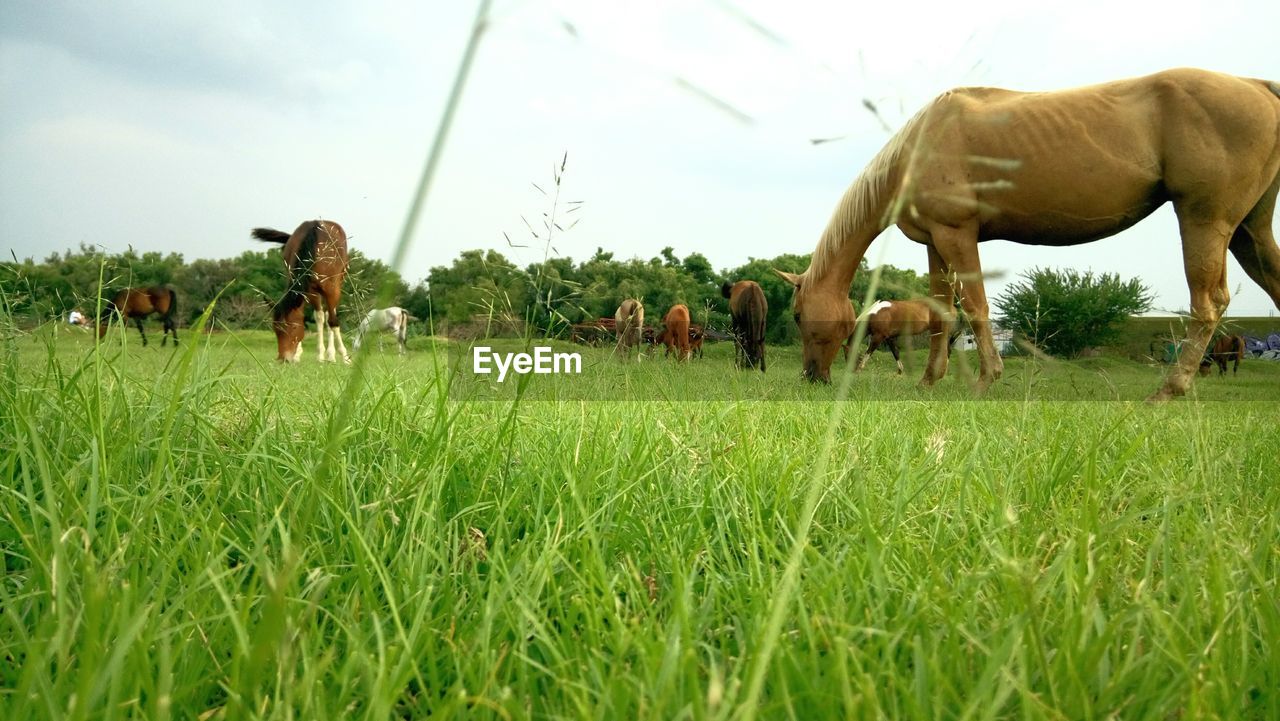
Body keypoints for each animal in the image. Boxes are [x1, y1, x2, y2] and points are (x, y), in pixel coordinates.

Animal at [252, 220, 350, 363]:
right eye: (275, 329)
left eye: (293, 327)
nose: (283, 359)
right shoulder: (311, 290)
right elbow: (318, 317)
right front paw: (317, 355)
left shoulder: (332, 289)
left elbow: (332, 321)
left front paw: (344, 356)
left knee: (330, 315)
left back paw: (331, 355)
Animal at [773, 69, 1280, 404]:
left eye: (798, 315)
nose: (811, 377)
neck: (917, 148)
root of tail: (1258, 86)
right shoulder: (935, 242)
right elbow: (942, 313)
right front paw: (929, 382)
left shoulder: (957, 235)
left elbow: (976, 307)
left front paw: (984, 381)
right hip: (1249, 232)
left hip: (1204, 220)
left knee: (1208, 303)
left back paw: (1168, 389)